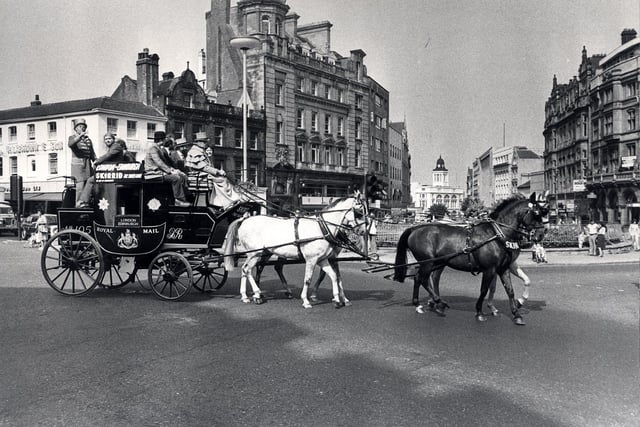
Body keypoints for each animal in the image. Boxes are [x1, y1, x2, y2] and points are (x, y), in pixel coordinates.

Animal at [224, 196, 364, 310]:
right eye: (359, 212)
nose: (362, 231)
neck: (321, 227)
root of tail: (244, 219)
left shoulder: (322, 259)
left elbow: (334, 276)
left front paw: (337, 299)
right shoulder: (312, 260)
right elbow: (308, 279)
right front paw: (306, 301)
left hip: (258, 253)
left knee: (246, 269)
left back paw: (246, 296)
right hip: (255, 253)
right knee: (247, 269)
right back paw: (257, 293)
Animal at [392, 194, 548, 328]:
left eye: (542, 212)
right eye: (536, 213)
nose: (541, 234)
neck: (497, 235)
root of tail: (415, 228)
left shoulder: (503, 268)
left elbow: (510, 291)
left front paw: (516, 314)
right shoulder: (489, 269)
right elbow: (484, 290)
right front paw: (479, 311)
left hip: (436, 263)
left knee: (421, 278)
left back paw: (421, 303)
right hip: (428, 262)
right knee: (423, 278)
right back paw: (438, 303)